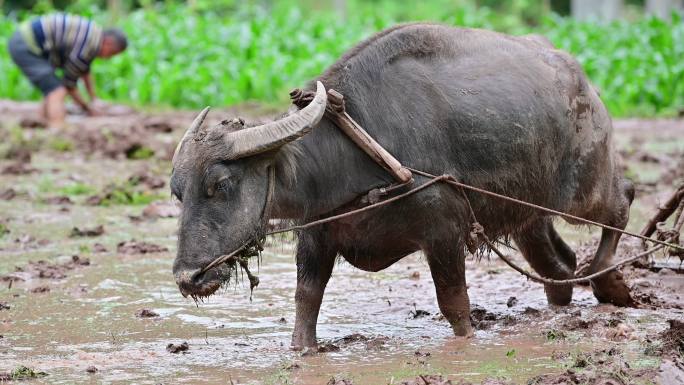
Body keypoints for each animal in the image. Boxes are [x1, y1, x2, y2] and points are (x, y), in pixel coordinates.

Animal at [171, 23, 636, 348]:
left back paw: (610, 282)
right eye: (178, 192)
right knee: (558, 261)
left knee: (621, 203)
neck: (358, 147)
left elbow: (454, 303)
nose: (188, 277)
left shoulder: (444, 231)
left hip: (588, 187)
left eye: (221, 184)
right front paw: (303, 349)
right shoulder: (317, 235)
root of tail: (580, 78)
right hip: (528, 211)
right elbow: (307, 300)